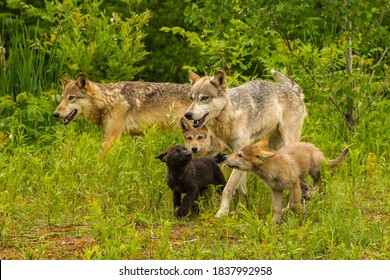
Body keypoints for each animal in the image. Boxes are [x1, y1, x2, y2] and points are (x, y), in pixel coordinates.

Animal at [53, 74, 190, 152]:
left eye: (71, 97)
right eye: (62, 98)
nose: (55, 114)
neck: (108, 100)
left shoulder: (112, 138)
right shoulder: (137, 136)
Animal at [184, 69, 306, 218]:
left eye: (204, 98)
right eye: (192, 98)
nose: (187, 114)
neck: (229, 115)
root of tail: (294, 90)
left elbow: (228, 188)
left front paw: (222, 212)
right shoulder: (236, 155)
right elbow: (241, 189)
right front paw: (241, 210)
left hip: (289, 141)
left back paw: (293, 209)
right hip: (275, 147)